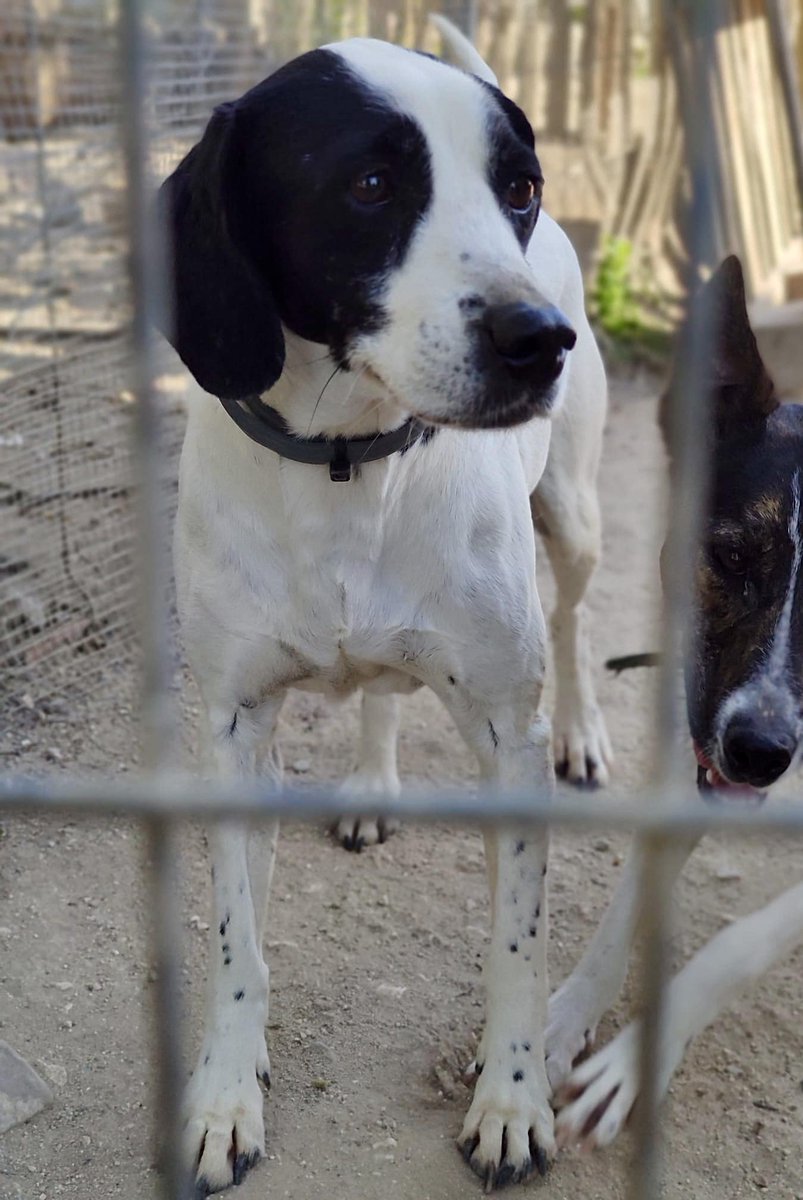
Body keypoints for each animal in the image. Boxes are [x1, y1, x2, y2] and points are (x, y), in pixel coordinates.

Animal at [158, 25, 607, 1190]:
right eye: (367, 185)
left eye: (517, 188)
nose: (538, 338)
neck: (347, 458)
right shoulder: (232, 730)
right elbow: (233, 938)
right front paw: (224, 1093)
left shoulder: (504, 736)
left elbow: (517, 946)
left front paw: (510, 1099)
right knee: (380, 691)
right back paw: (369, 781)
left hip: (574, 515)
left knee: (575, 625)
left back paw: (587, 731)